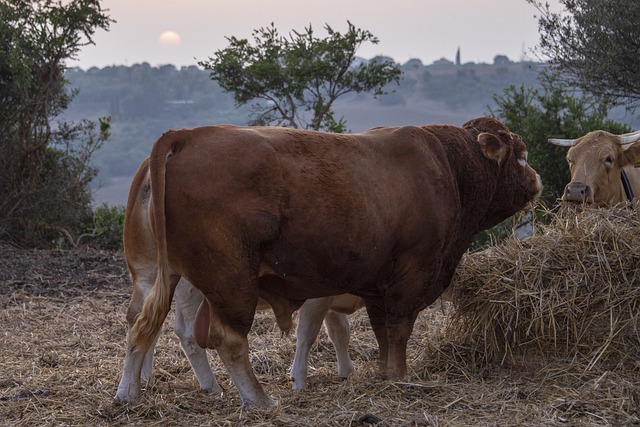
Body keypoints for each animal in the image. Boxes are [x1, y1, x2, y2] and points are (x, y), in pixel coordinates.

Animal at [115, 116, 540, 408]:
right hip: (229, 281)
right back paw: (259, 400)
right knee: (226, 339)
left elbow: (380, 334)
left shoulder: (375, 286)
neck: (448, 167)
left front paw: (384, 374)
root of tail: (185, 135)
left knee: (139, 324)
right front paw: (399, 377)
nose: (536, 180)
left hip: (154, 275)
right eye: (520, 156)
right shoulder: (409, 277)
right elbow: (398, 331)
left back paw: (128, 393)